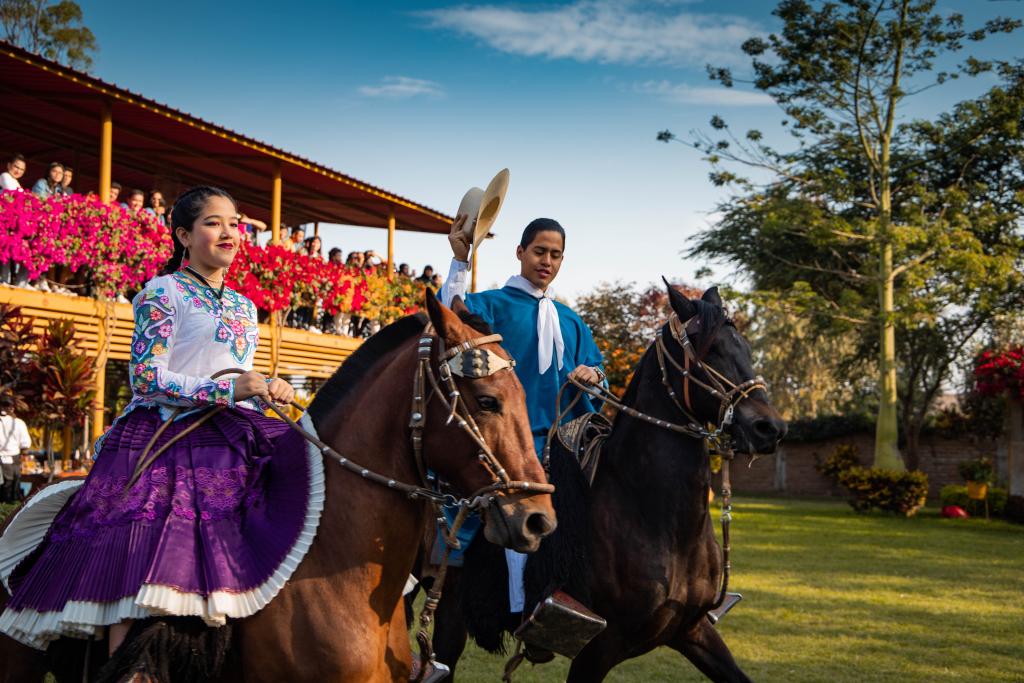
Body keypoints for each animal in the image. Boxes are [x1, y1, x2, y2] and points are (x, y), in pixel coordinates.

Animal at [423, 284, 782, 683]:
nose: (769, 427)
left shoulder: (693, 631)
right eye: (711, 349)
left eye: (744, 347)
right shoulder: (598, 648)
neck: (657, 521)